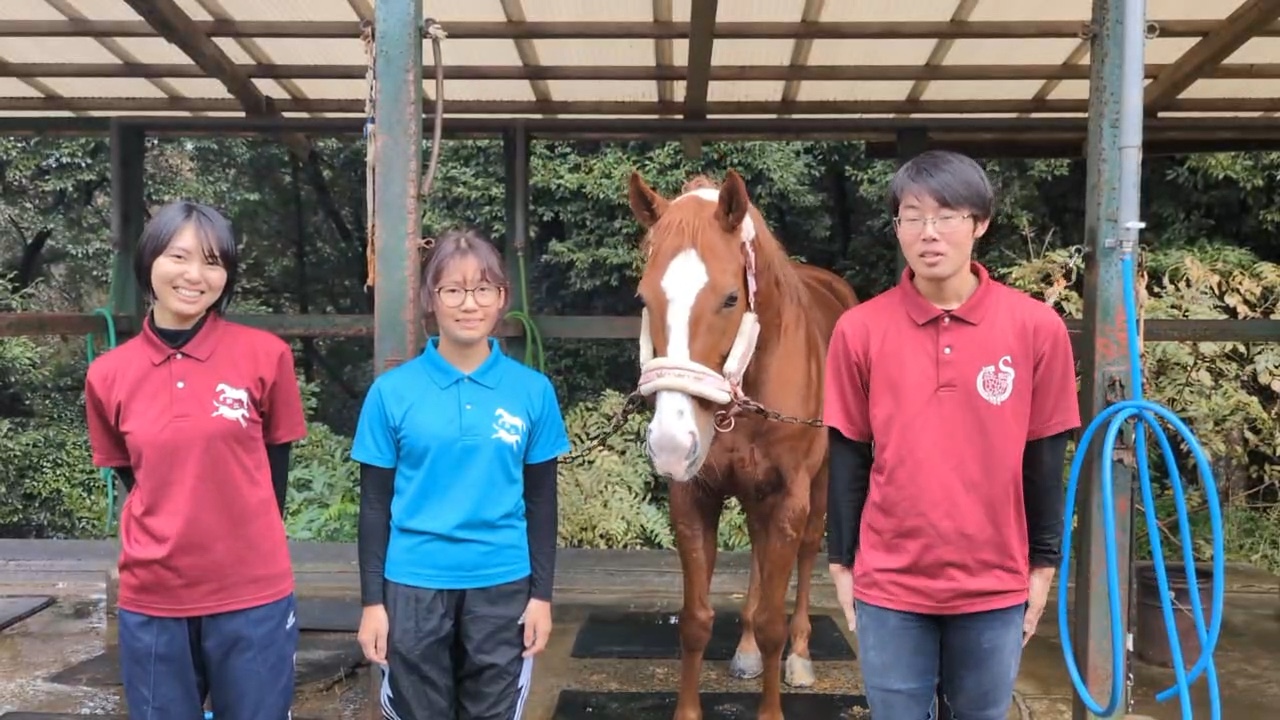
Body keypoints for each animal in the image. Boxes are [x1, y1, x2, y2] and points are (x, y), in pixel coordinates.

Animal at [627, 169, 859, 720]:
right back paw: (748, 650)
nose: (672, 444)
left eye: (731, 298)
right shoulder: (694, 496)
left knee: (804, 557)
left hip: (816, 490)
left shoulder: (790, 498)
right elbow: (695, 620)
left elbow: (776, 618)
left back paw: (800, 656)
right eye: (644, 300)